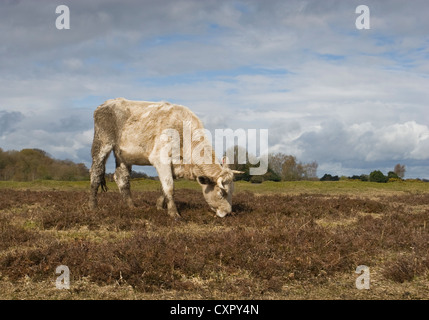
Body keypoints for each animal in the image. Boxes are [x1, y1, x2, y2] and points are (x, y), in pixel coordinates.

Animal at [88, 97, 242, 218]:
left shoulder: (174, 165)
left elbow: (164, 187)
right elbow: (169, 187)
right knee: (96, 173)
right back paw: (93, 206)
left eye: (232, 191)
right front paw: (174, 213)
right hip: (102, 144)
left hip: (123, 155)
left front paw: (158, 206)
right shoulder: (161, 158)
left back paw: (131, 206)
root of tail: (105, 103)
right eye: (221, 193)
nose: (228, 212)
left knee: (122, 178)